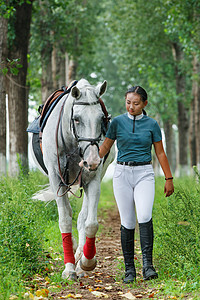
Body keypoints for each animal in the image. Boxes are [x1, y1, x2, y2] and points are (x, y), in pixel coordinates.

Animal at [31, 78, 115, 280]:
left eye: (101, 119)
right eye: (76, 118)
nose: (93, 160)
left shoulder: (93, 178)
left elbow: (90, 223)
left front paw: (86, 262)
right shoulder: (56, 179)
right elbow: (64, 220)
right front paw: (69, 268)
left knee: (83, 217)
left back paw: (80, 258)